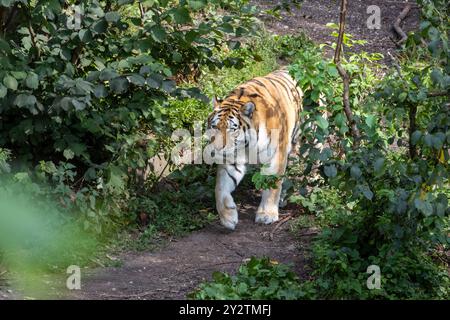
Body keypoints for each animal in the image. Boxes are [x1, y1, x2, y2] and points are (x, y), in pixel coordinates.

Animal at [207, 69, 302, 230]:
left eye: (232, 129)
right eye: (214, 127)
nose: (218, 149)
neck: (247, 145)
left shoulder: (276, 156)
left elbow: (272, 186)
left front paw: (267, 215)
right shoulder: (232, 160)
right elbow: (219, 188)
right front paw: (228, 216)